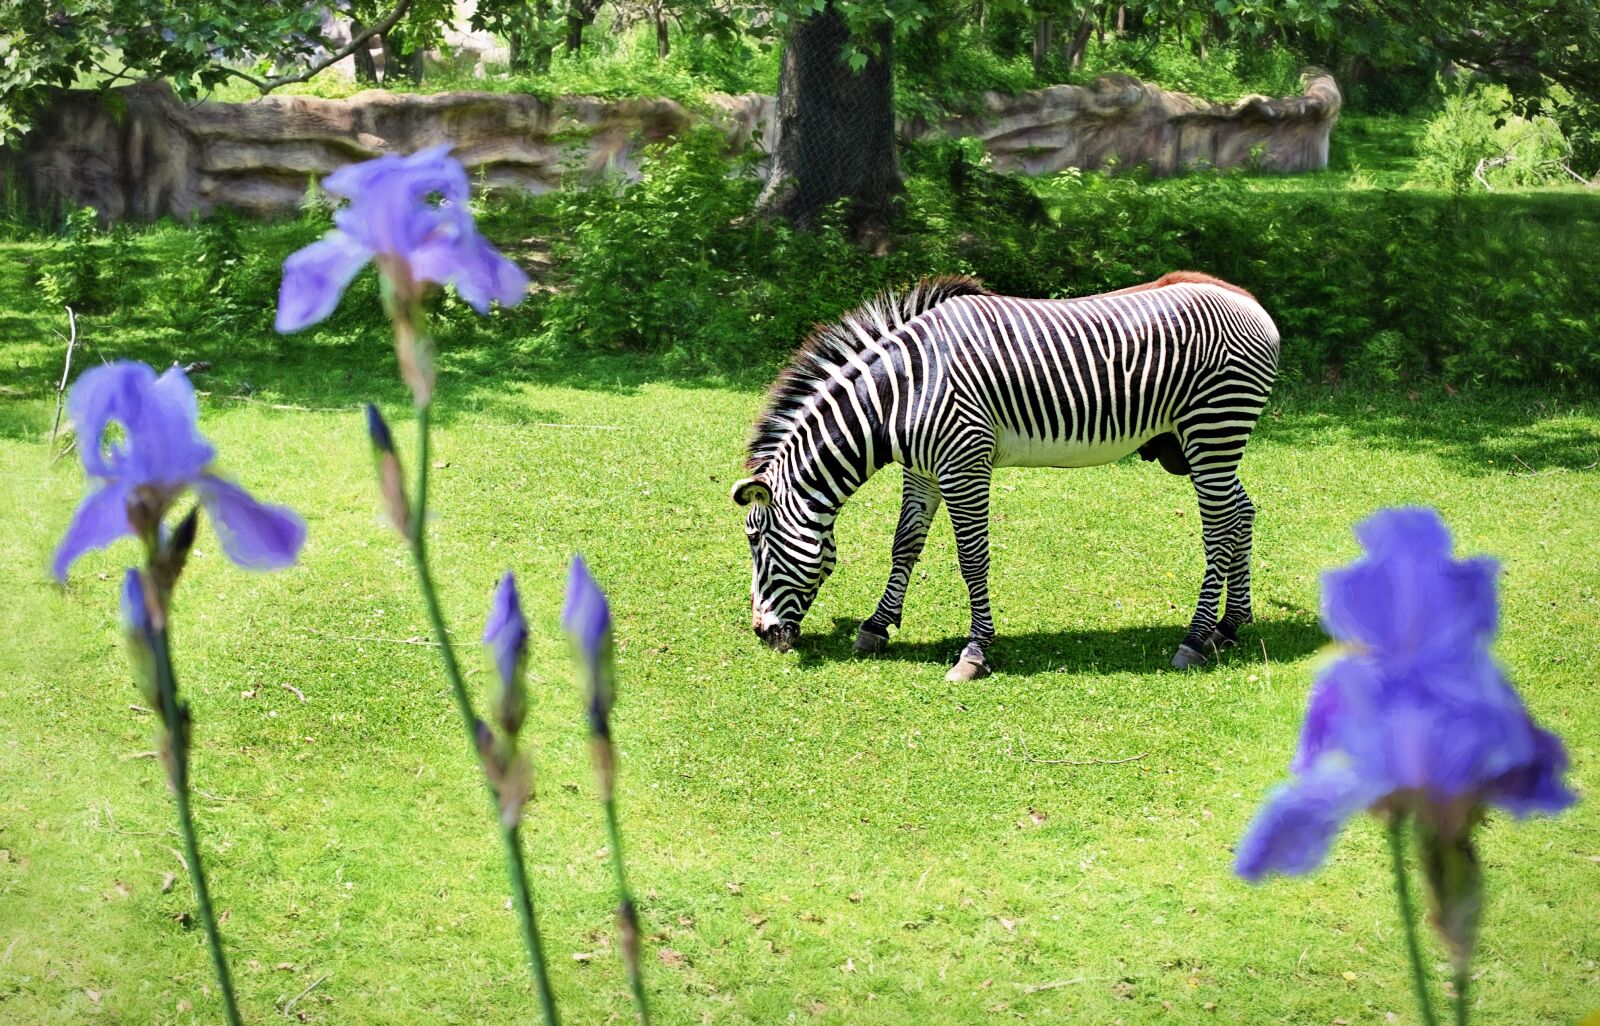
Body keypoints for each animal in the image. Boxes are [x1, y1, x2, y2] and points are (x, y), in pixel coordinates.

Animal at [733, 271, 1279, 680]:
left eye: (756, 539)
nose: (762, 635)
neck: (900, 395)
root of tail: (1244, 297)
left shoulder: (964, 462)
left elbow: (972, 559)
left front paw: (975, 652)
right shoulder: (922, 469)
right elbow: (904, 544)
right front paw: (877, 626)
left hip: (1214, 427)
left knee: (1220, 528)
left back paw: (1195, 638)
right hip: (1198, 443)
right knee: (1242, 512)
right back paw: (1230, 626)